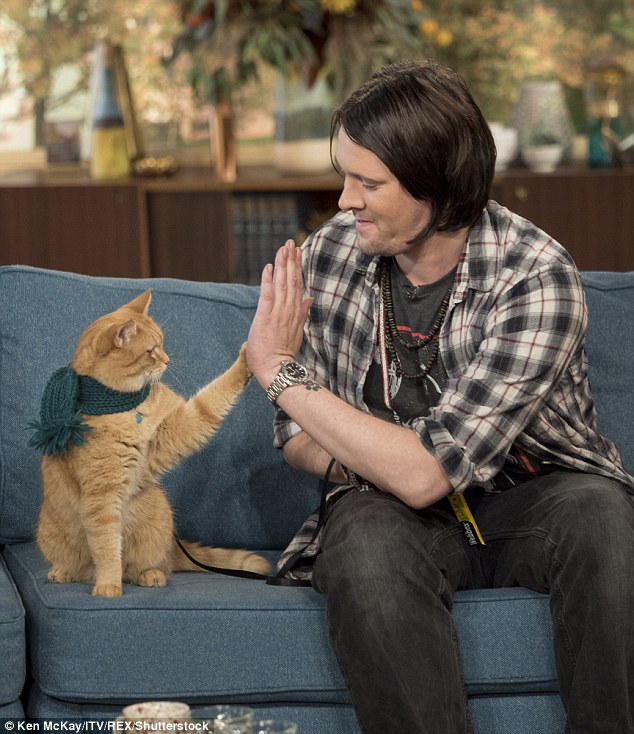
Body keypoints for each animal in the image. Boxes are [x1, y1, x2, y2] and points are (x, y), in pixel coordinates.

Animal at [33, 292, 268, 600]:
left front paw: (248, 360)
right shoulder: (101, 498)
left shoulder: (174, 431)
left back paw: (151, 575)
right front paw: (108, 585)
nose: (167, 360)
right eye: (150, 351)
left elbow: (212, 399)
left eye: (162, 344)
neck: (124, 408)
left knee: (152, 565)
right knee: (81, 567)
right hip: (52, 534)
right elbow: (106, 547)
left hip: (157, 521)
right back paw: (62, 573)